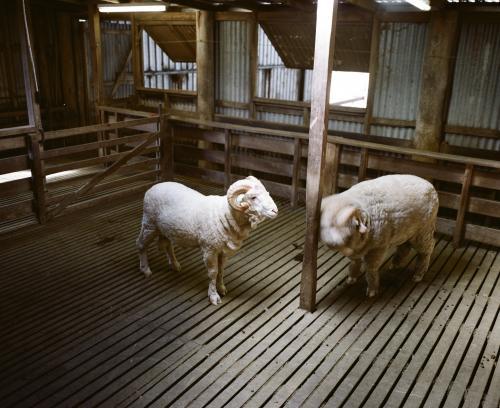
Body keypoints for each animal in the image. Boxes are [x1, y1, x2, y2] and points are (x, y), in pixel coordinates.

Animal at [136, 177, 278, 304]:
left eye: (267, 193)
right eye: (253, 197)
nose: (275, 211)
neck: (224, 214)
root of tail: (153, 187)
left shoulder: (223, 251)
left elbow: (221, 270)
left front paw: (222, 288)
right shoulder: (209, 249)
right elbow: (213, 273)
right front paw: (213, 296)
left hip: (165, 228)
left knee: (167, 245)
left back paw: (175, 265)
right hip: (149, 224)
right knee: (141, 244)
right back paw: (145, 270)